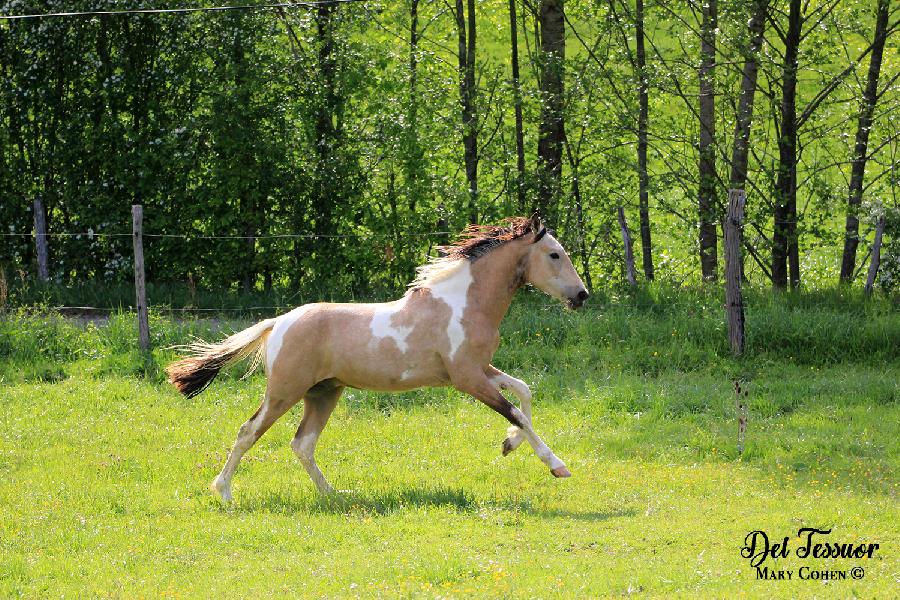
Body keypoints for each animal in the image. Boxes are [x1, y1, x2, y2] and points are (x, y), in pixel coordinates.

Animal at [167, 213, 592, 500]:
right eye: (554, 255)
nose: (582, 295)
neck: (463, 304)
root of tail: (279, 322)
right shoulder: (467, 378)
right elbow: (516, 410)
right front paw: (557, 466)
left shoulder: (479, 369)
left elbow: (524, 391)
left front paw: (508, 445)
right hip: (285, 391)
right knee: (248, 431)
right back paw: (224, 492)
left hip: (324, 392)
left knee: (302, 444)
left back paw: (334, 496)